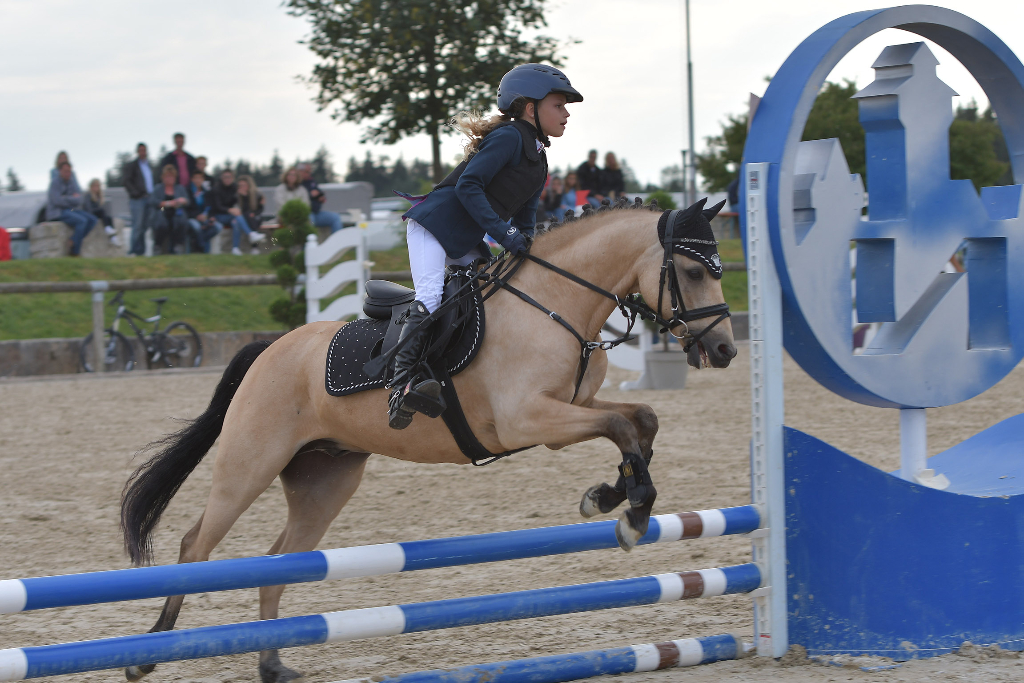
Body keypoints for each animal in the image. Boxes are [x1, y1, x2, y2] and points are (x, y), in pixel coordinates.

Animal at [117, 197, 737, 683]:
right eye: (692, 270)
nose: (726, 350)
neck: (555, 303)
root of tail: (270, 347)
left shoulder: (569, 413)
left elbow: (640, 419)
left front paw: (614, 497)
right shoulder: (528, 420)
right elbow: (621, 428)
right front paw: (630, 513)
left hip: (325, 479)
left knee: (279, 561)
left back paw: (270, 663)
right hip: (250, 463)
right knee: (195, 546)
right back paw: (149, 653)